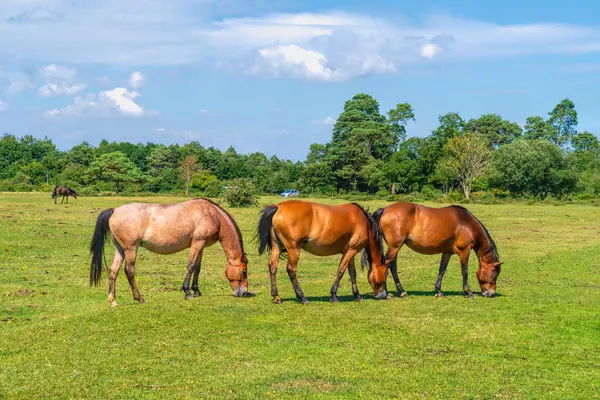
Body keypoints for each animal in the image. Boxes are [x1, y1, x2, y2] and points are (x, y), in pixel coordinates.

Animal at [88, 198, 248, 308]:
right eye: (243, 272)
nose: (244, 292)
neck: (211, 214)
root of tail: (115, 210)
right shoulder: (197, 242)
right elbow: (191, 266)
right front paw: (187, 292)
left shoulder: (200, 245)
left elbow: (197, 268)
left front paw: (196, 291)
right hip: (130, 249)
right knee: (129, 271)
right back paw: (139, 298)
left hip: (120, 250)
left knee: (113, 271)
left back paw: (113, 301)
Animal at [258, 200, 390, 304]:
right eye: (386, 273)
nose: (383, 295)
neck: (363, 222)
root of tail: (277, 207)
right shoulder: (351, 250)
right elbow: (341, 271)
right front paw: (333, 295)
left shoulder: (349, 251)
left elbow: (352, 273)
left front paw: (357, 295)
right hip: (293, 249)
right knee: (291, 270)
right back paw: (302, 297)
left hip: (277, 246)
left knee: (273, 267)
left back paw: (276, 297)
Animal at [372, 203, 504, 296]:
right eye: (494, 276)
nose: (491, 294)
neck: (466, 223)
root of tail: (385, 209)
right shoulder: (464, 251)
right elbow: (464, 271)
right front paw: (468, 292)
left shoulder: (447, 252)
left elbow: (442, 269)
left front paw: (438, 291)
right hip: (395, 247)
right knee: (385, 265)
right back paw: (386, 292)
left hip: (395, 248)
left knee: (392, 266)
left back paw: (401, 291)